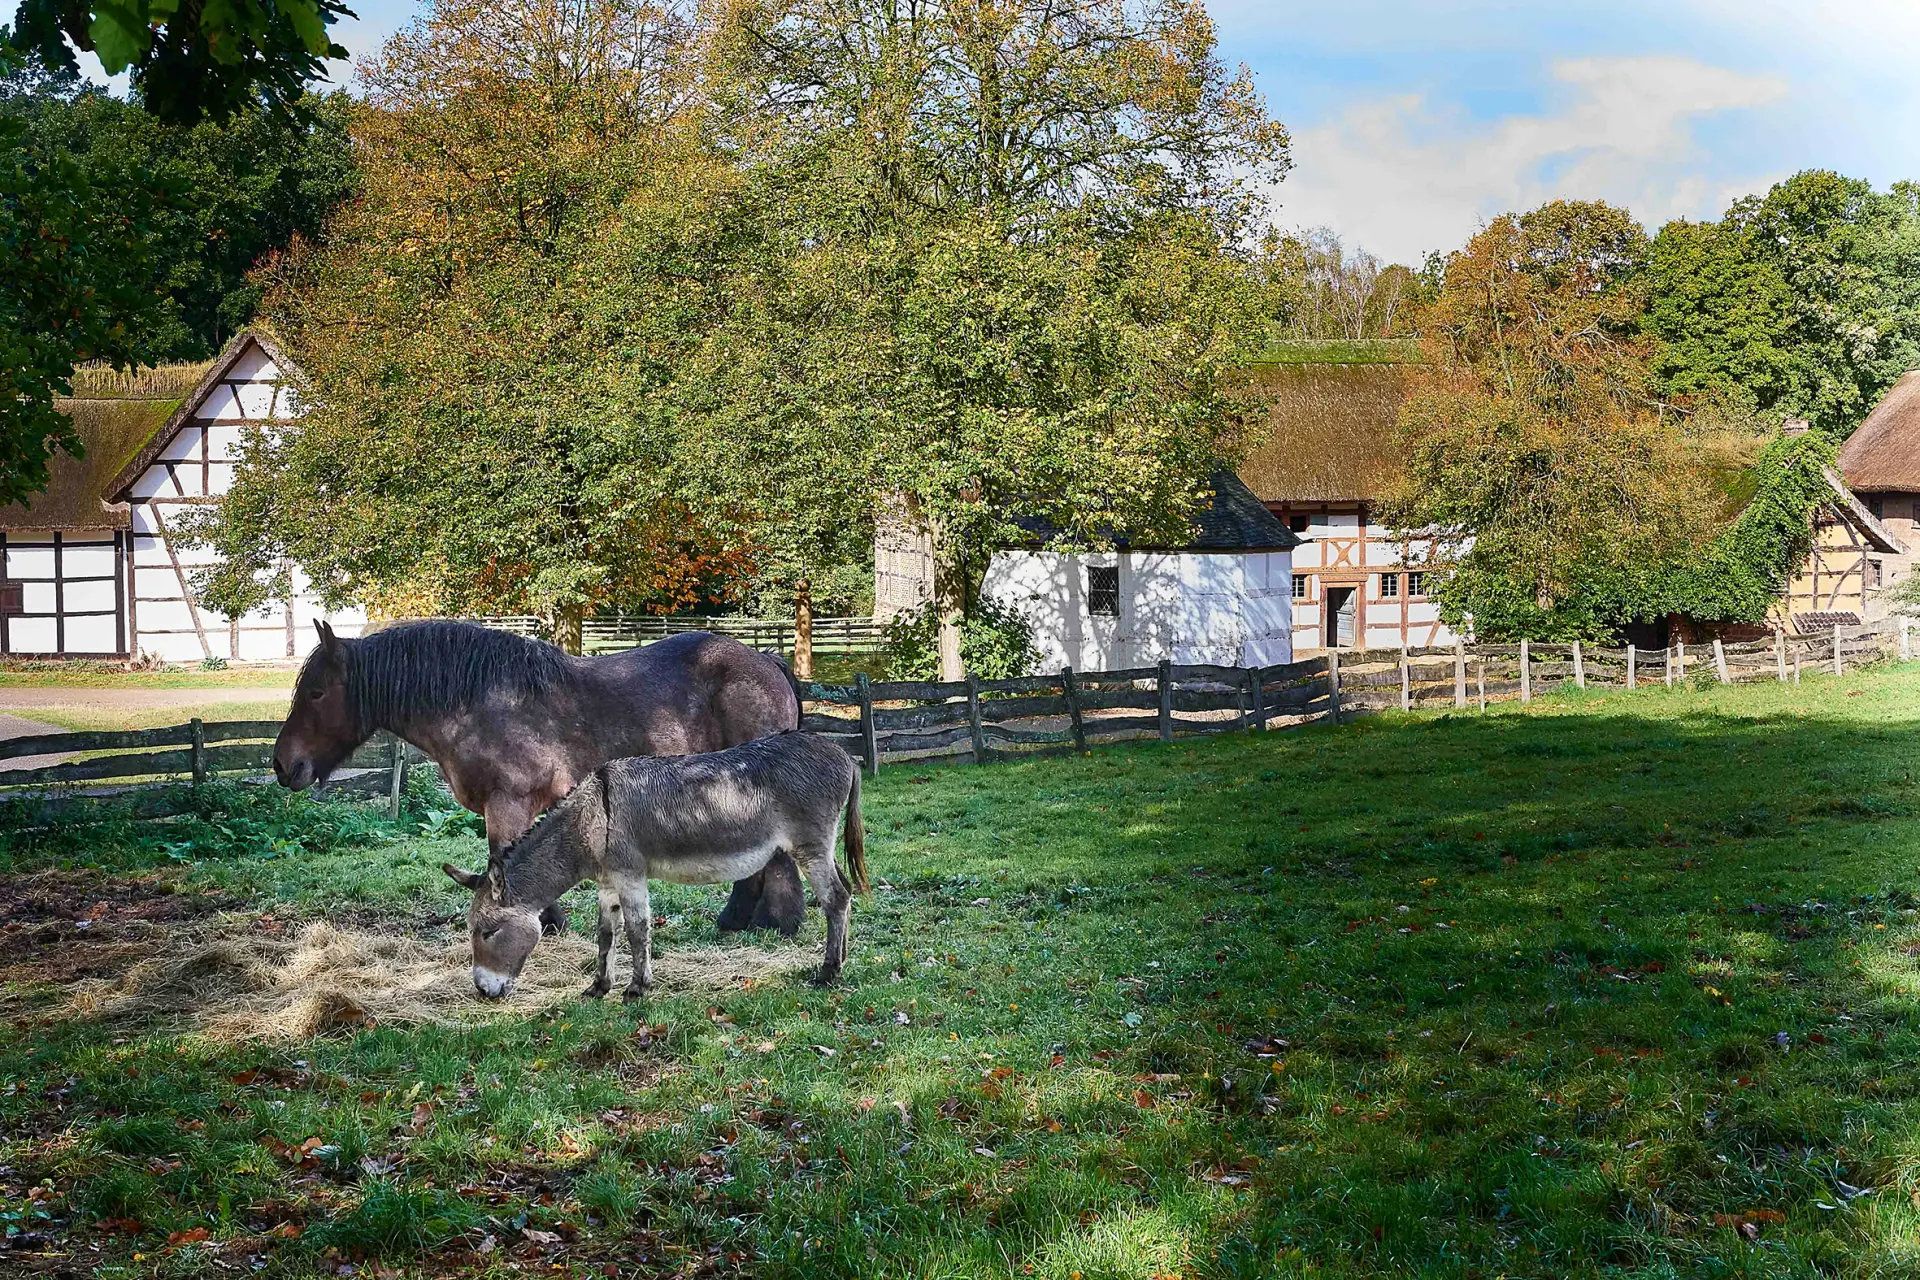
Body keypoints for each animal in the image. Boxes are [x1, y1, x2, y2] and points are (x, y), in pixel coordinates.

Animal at [272, 619, 806, 935]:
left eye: (317, 692)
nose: (283, 765)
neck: (479, 702)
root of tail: (767, 661)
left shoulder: (507, 802)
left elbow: (503, 857)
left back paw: (772, 921)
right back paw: (743, 920)